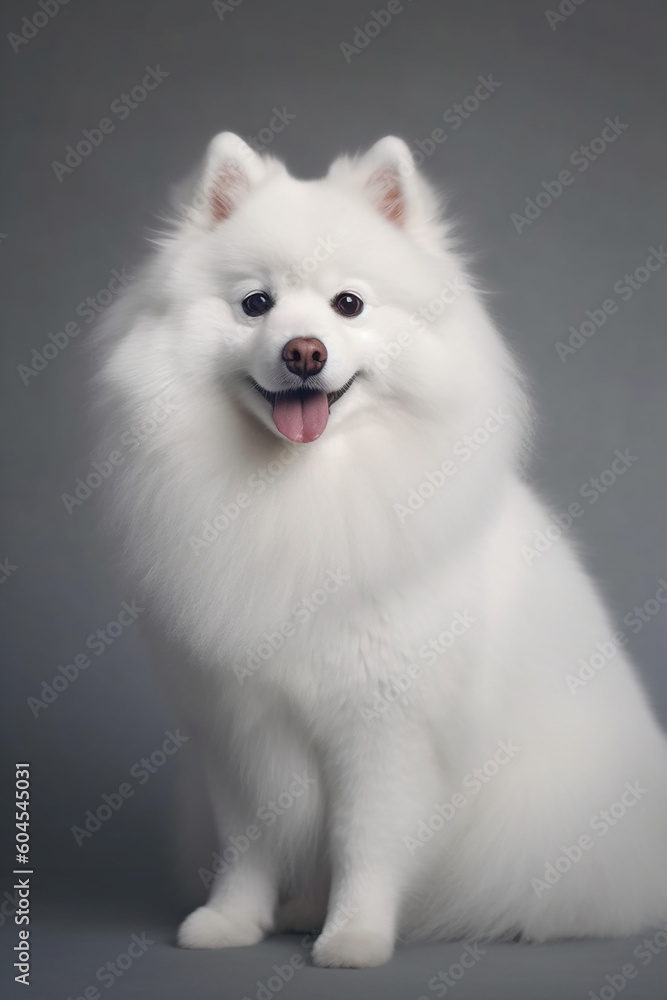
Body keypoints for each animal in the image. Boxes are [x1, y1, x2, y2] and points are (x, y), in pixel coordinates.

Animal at [95, 135, 667, 968]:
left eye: (348, 305)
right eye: (255, 303)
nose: (303, 351)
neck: (300, 494)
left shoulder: (384, 730)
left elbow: (364, 842)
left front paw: (355, 937)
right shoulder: (240, 728)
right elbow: (251, 844)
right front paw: (230, 923)